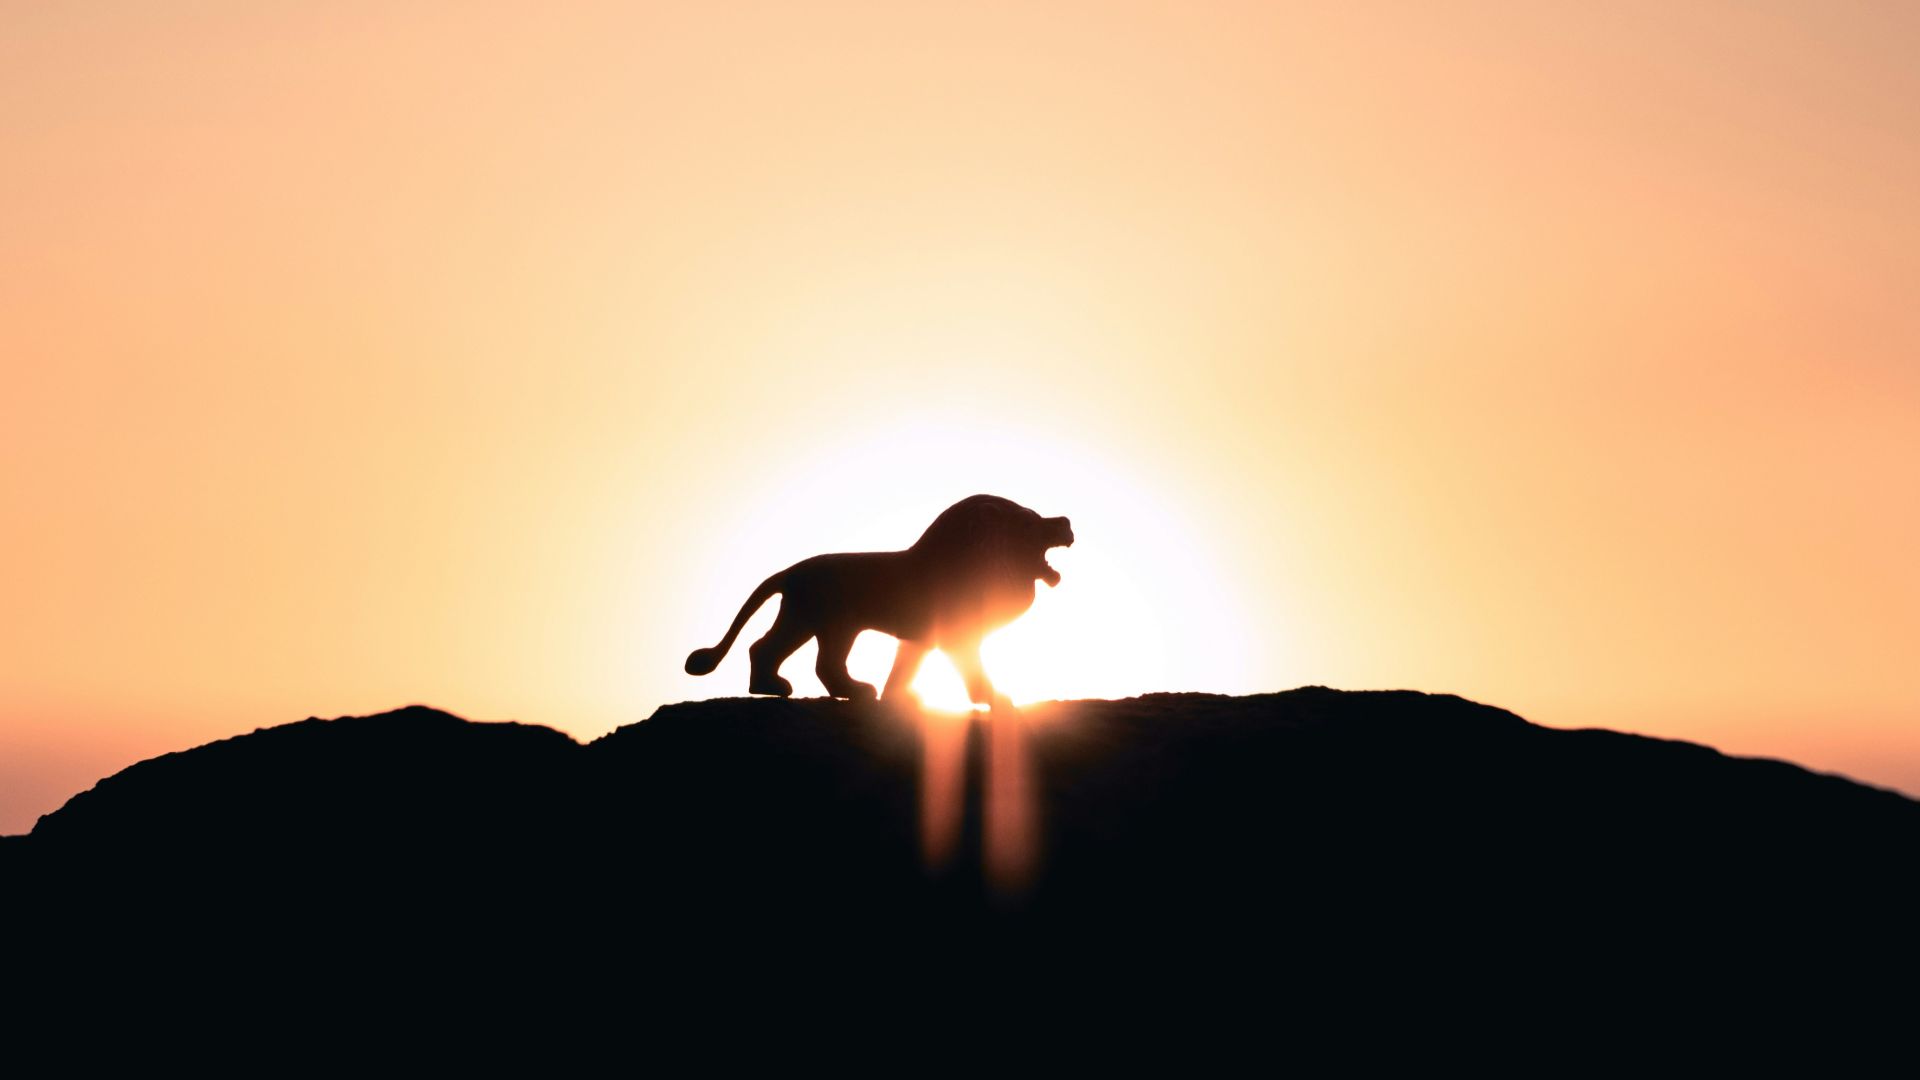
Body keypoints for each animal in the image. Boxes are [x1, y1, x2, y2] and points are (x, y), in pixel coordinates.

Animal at [684, 495, 1074, 707]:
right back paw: (849, 691)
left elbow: (904, 667)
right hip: (833, 623)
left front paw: (898, 698)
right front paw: (993, 698)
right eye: (1028, 522)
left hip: (805, 619)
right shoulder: (956, 636)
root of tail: (789, 570)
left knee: (767, 649)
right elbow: (972, 668)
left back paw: (771, 687)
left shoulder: (919, 639)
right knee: (821, 663)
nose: (1066, 521)